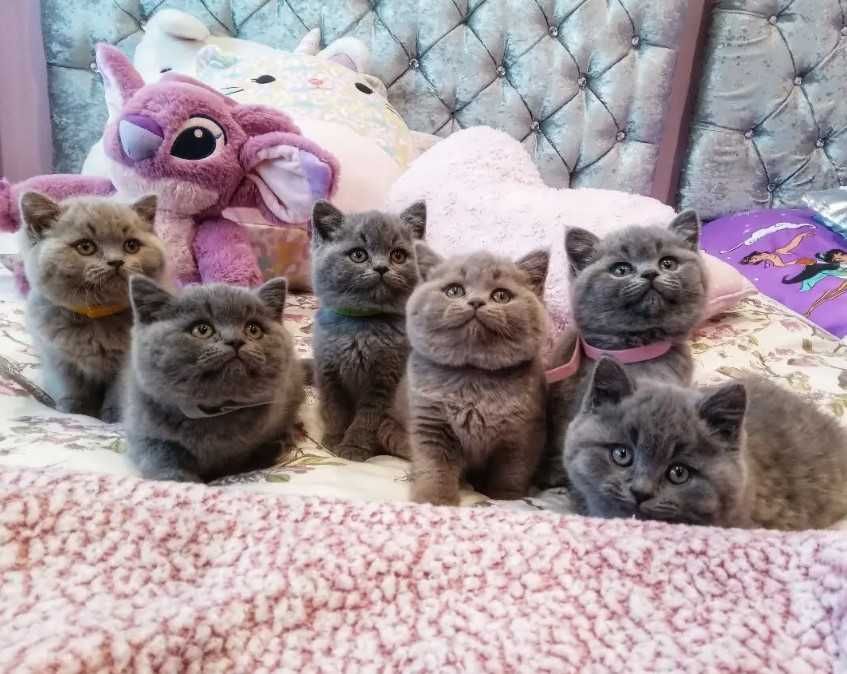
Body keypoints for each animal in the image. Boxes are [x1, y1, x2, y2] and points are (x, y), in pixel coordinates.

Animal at [18, 192, 166, 421]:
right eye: (85, 247)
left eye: (131, 245)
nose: (116, 262)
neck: (97, 316)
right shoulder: (57, 357)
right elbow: (70, 387)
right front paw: (74, 410)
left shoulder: (127, 363)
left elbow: (119, 391)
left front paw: (113, 417)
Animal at [124, 276, 305, 483]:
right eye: (202, 329)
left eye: (253, 329)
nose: (235, 341)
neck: (215, 411)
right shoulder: (144, 434)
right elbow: (161, 458)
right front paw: (180, 479)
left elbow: (245, 459)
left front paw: (274, 447)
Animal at [310, 199, 426, 461]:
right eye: (358, 254)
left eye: (398, 255)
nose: (382, 268)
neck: (361, 327)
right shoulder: (328, 372)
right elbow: (335, 408)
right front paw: (333, 439)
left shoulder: (384, 379)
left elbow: (367, 418)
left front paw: (353, 448)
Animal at [381, 245, 550, 505]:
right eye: (454, 290)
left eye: (501, 295)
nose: (476, 302)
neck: (474, 376)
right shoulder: (431, 423)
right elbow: (435, 466)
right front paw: (435, 500)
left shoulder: (524, 431)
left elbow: (512, 470)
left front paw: (506, 498)